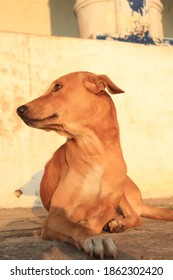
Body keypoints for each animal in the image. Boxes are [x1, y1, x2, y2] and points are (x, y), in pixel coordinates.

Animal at [16, 71, 173, 260]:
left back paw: (118, 222)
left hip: (123, 192)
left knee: (136, 216)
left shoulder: (109, 204)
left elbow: (97, 220)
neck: (95, 153)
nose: (19, 109)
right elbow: (78, 226)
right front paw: (94, 238)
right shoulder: (55, 215)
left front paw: (97, 226)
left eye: (57, 87)